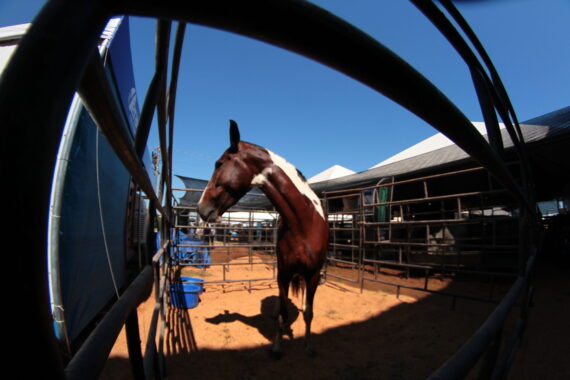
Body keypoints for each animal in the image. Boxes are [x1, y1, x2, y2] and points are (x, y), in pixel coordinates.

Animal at [197, 120, 326, 358]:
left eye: (219, 163)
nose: (201, 208)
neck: (304, 223)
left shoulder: (313, 275)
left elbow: (309, 312)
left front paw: (309, 345)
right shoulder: (284, 272)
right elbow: (283, 313)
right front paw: (277, 346)